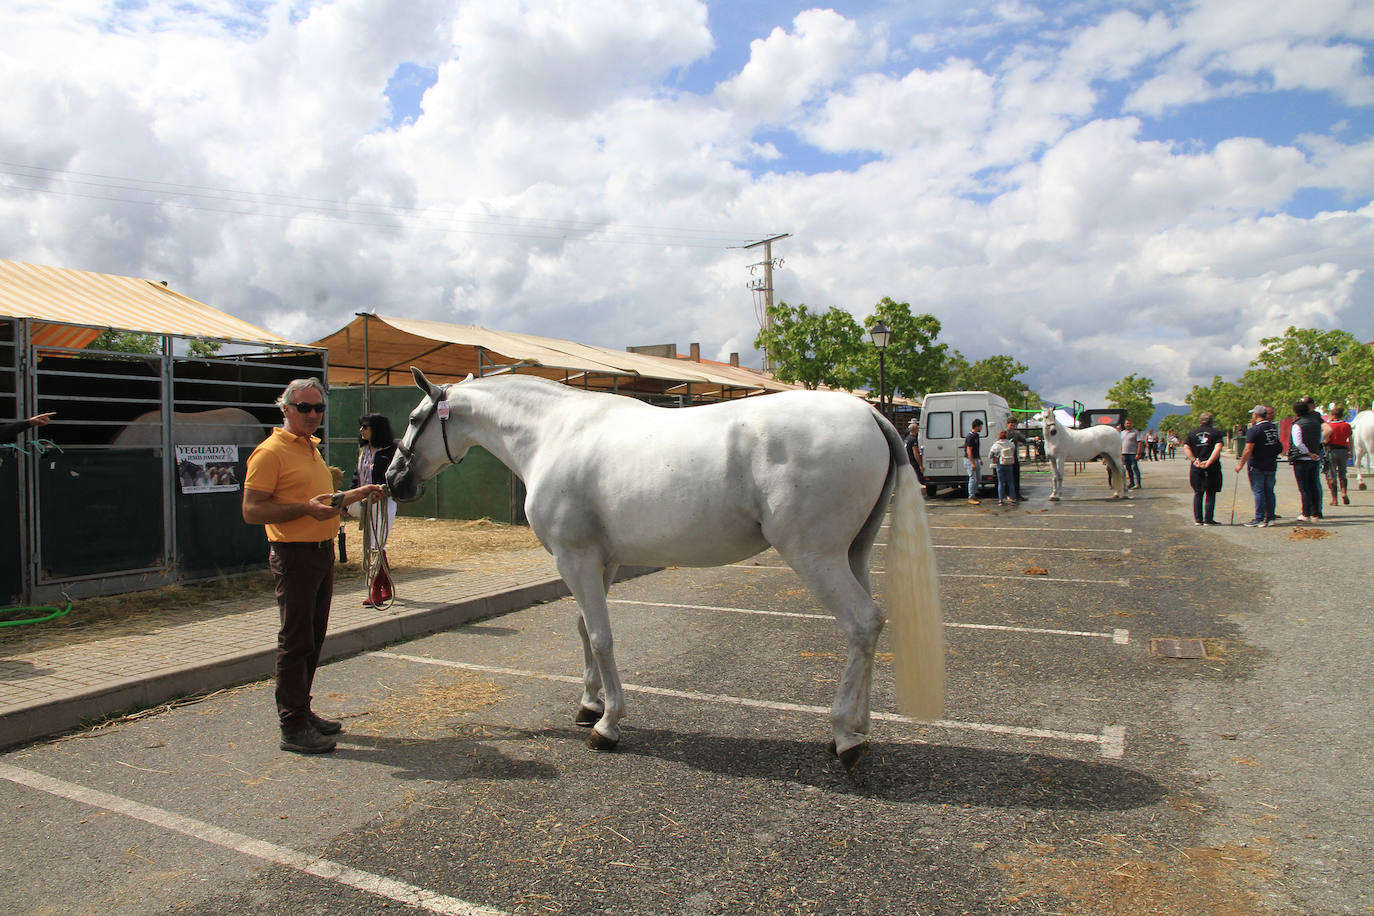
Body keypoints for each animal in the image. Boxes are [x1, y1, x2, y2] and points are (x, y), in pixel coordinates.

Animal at [387, 368, 945, 769]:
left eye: (413, 419)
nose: (393, 481)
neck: (552, 434)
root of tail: (872, 416)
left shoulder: (575, 557)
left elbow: (603, 637)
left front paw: (608, 725)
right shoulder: (602, 561)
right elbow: (584, 628)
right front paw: (589, 705)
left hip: (815, 556)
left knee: (862, 623)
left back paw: (844, 737)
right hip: (854, 553)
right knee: (869, 629)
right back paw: (858, 729)